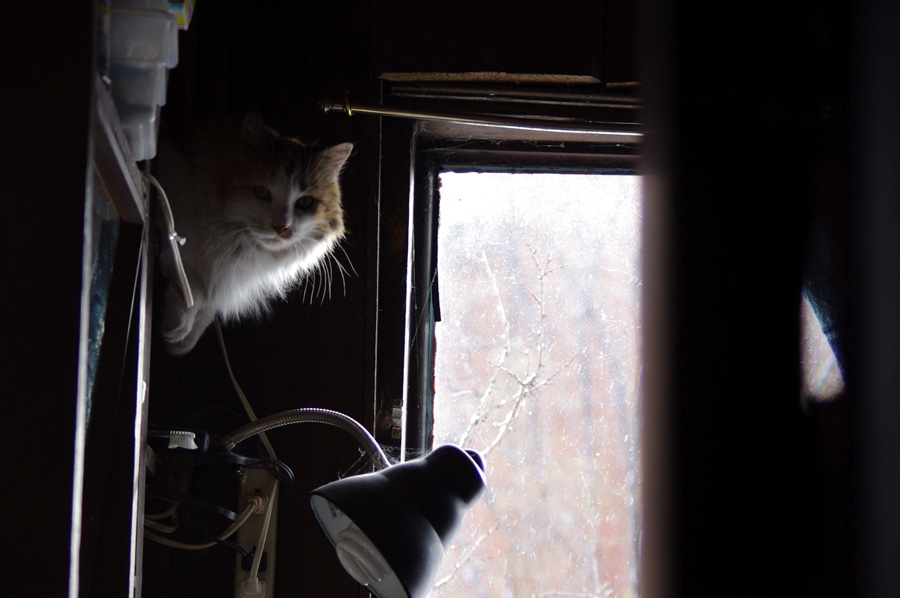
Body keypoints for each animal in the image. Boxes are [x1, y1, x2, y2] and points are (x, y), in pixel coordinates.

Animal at [155, 115, 352, 354]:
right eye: (261, 192)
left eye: (305, 202)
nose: (281, 227)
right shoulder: (181, 230)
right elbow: (193, 289)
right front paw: (175, 330)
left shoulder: (224, 278)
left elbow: (208, 306)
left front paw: (178, 343)